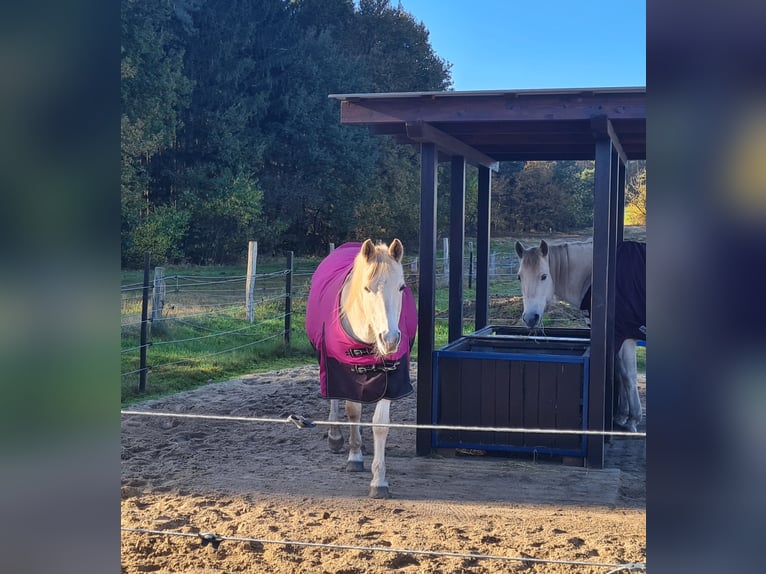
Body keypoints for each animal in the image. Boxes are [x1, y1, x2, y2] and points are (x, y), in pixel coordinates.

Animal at [304, 240, 416, 500]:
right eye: (367, 288)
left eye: (401, 287)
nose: (390, 339)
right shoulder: (342, 372)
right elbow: (352, 411)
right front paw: (354, 457)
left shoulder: (391, 380)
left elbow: (380, 424)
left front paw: (379, 481)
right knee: (334, 399)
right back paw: (336, 437)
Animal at [516, 238, 648, 432]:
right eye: (520, 277)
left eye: (544, 276)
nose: (530, 318)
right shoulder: (615, 339)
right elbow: (618, 372)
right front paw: (621, 415)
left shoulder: (625, 337)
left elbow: (628, 376)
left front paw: (632, 419)